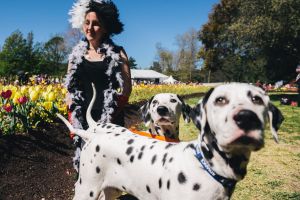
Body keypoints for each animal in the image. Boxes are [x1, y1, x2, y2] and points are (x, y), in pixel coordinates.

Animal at [56, 82, 284, 199]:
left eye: (257, 99)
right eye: (220, 100)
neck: (206, 167)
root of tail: (94, 133)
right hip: (87, 190)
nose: (246, 117)